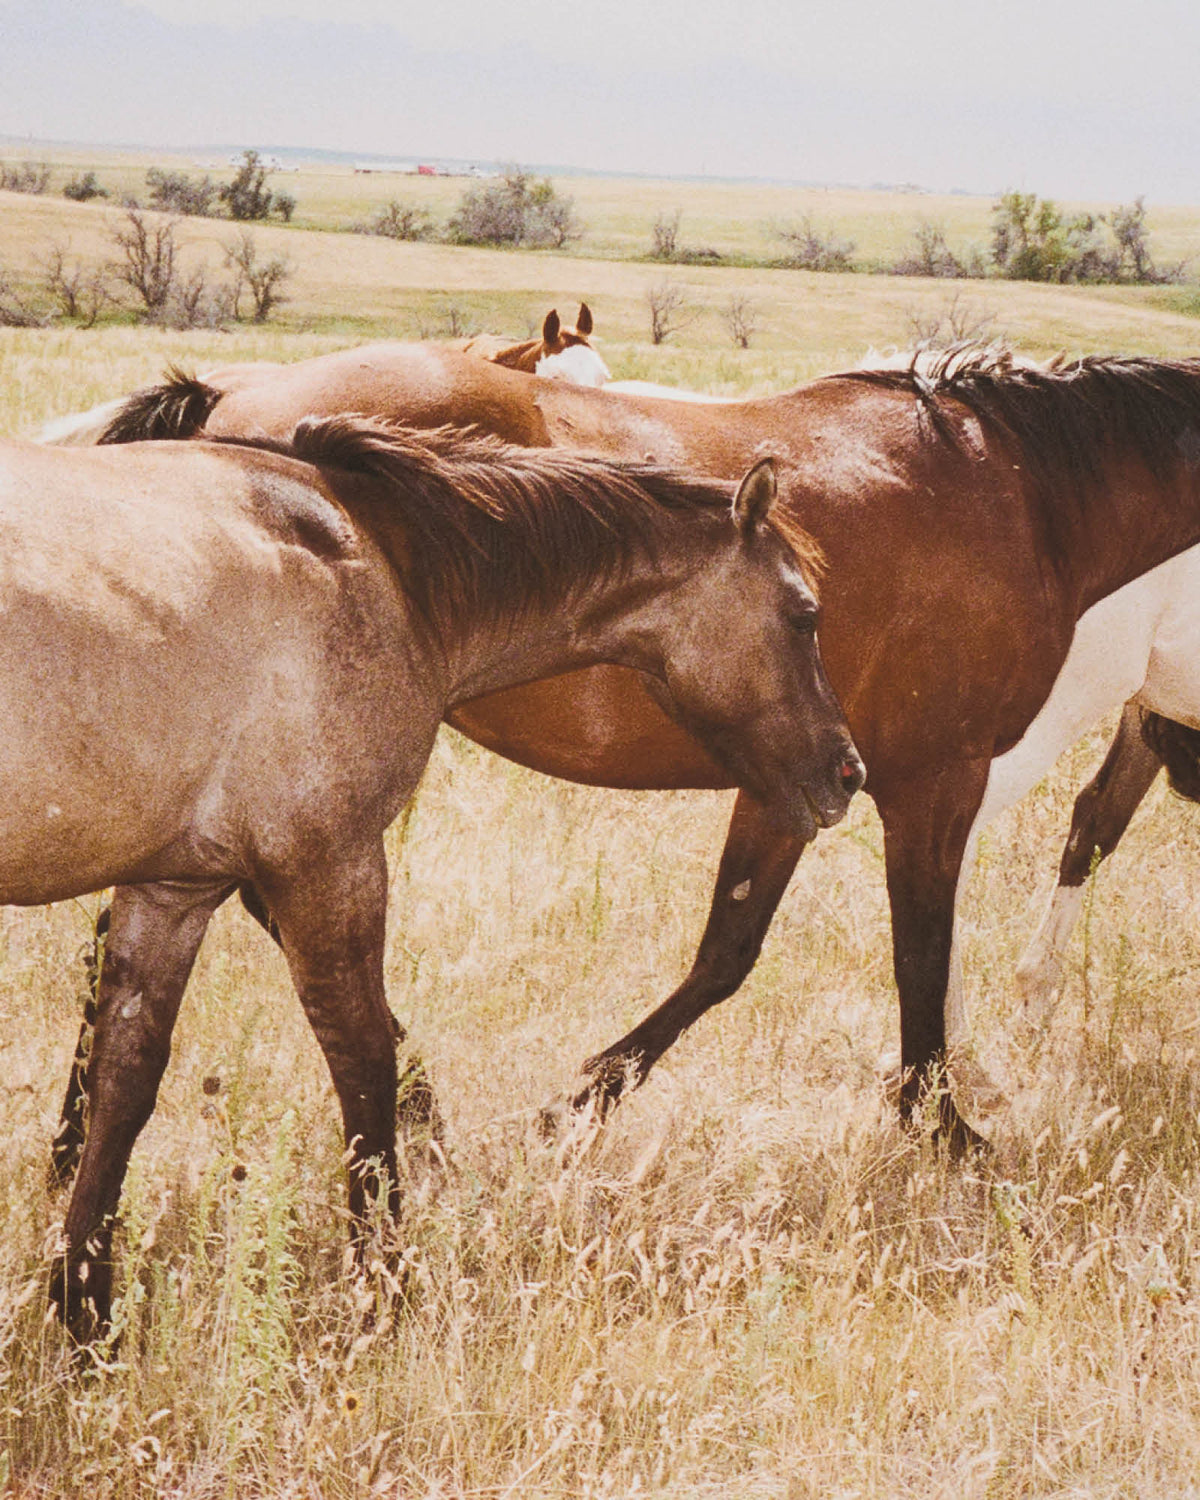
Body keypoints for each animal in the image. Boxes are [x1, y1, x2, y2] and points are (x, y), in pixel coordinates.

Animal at [2, 420, 858, 1338]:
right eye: (804, 615)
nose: (849, 771)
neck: (380, 565)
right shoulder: (331, 865)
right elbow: (365, 1062)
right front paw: (382, 1286)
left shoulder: (173, 891)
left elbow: (124, 1080)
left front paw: (84, 1310)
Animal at [68, 344, 1200, 1155]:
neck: (1018, 489)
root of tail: (228, 399)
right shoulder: (933, 780)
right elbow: (914, 954)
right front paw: (946, 1128)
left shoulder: (797, 780)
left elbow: (728, 954)